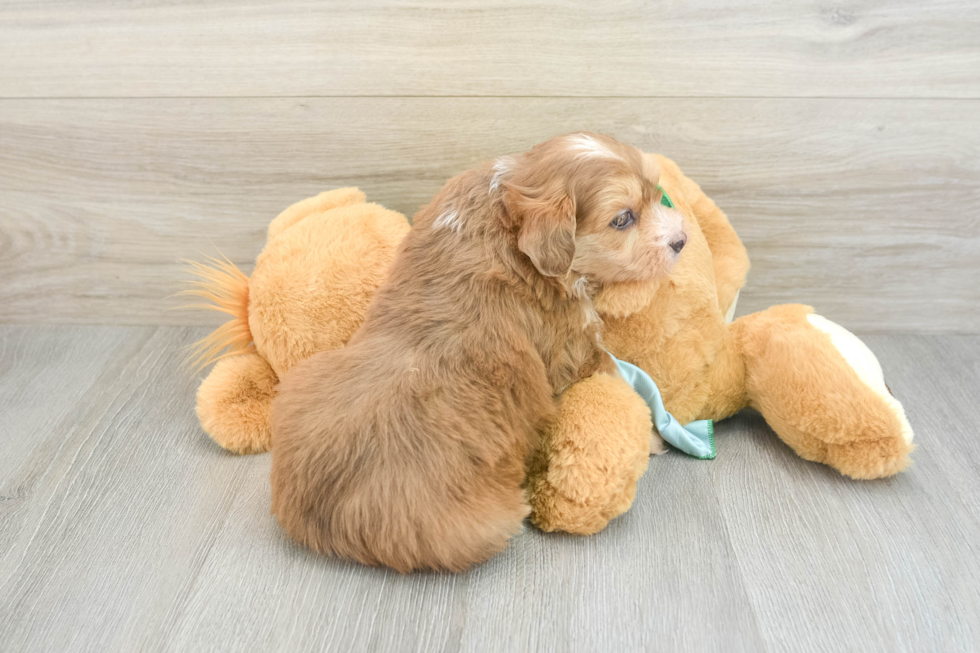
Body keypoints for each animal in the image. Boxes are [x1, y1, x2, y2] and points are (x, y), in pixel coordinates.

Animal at [272, 132, 684, 572]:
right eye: (623, 219)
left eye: (658, 195)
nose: (682, 240)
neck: (508, 203)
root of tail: (328, 528)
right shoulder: (572, 345)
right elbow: (614, 370)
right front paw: (656, 437)